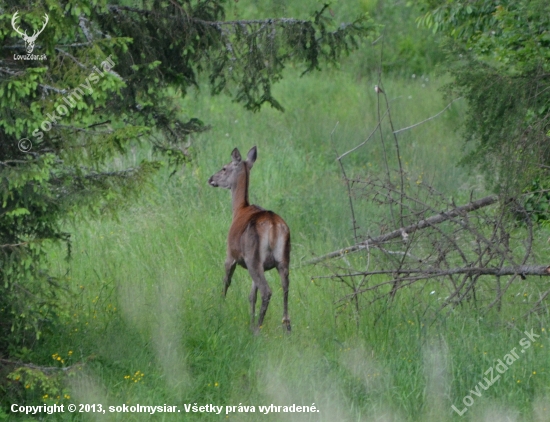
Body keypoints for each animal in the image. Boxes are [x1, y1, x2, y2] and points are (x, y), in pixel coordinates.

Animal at [208, 145, 294, 332]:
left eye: (224, 168)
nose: (210, 179)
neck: (239, 208)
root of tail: (273, 225)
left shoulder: (230, 254)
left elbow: (226, 283)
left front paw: (219, 310)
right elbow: (251, 295)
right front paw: (250, 320)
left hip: (252, 257)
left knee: (267, 291)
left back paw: (257, 329)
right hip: (282, 258)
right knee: (285, 287)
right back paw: (286, 326)